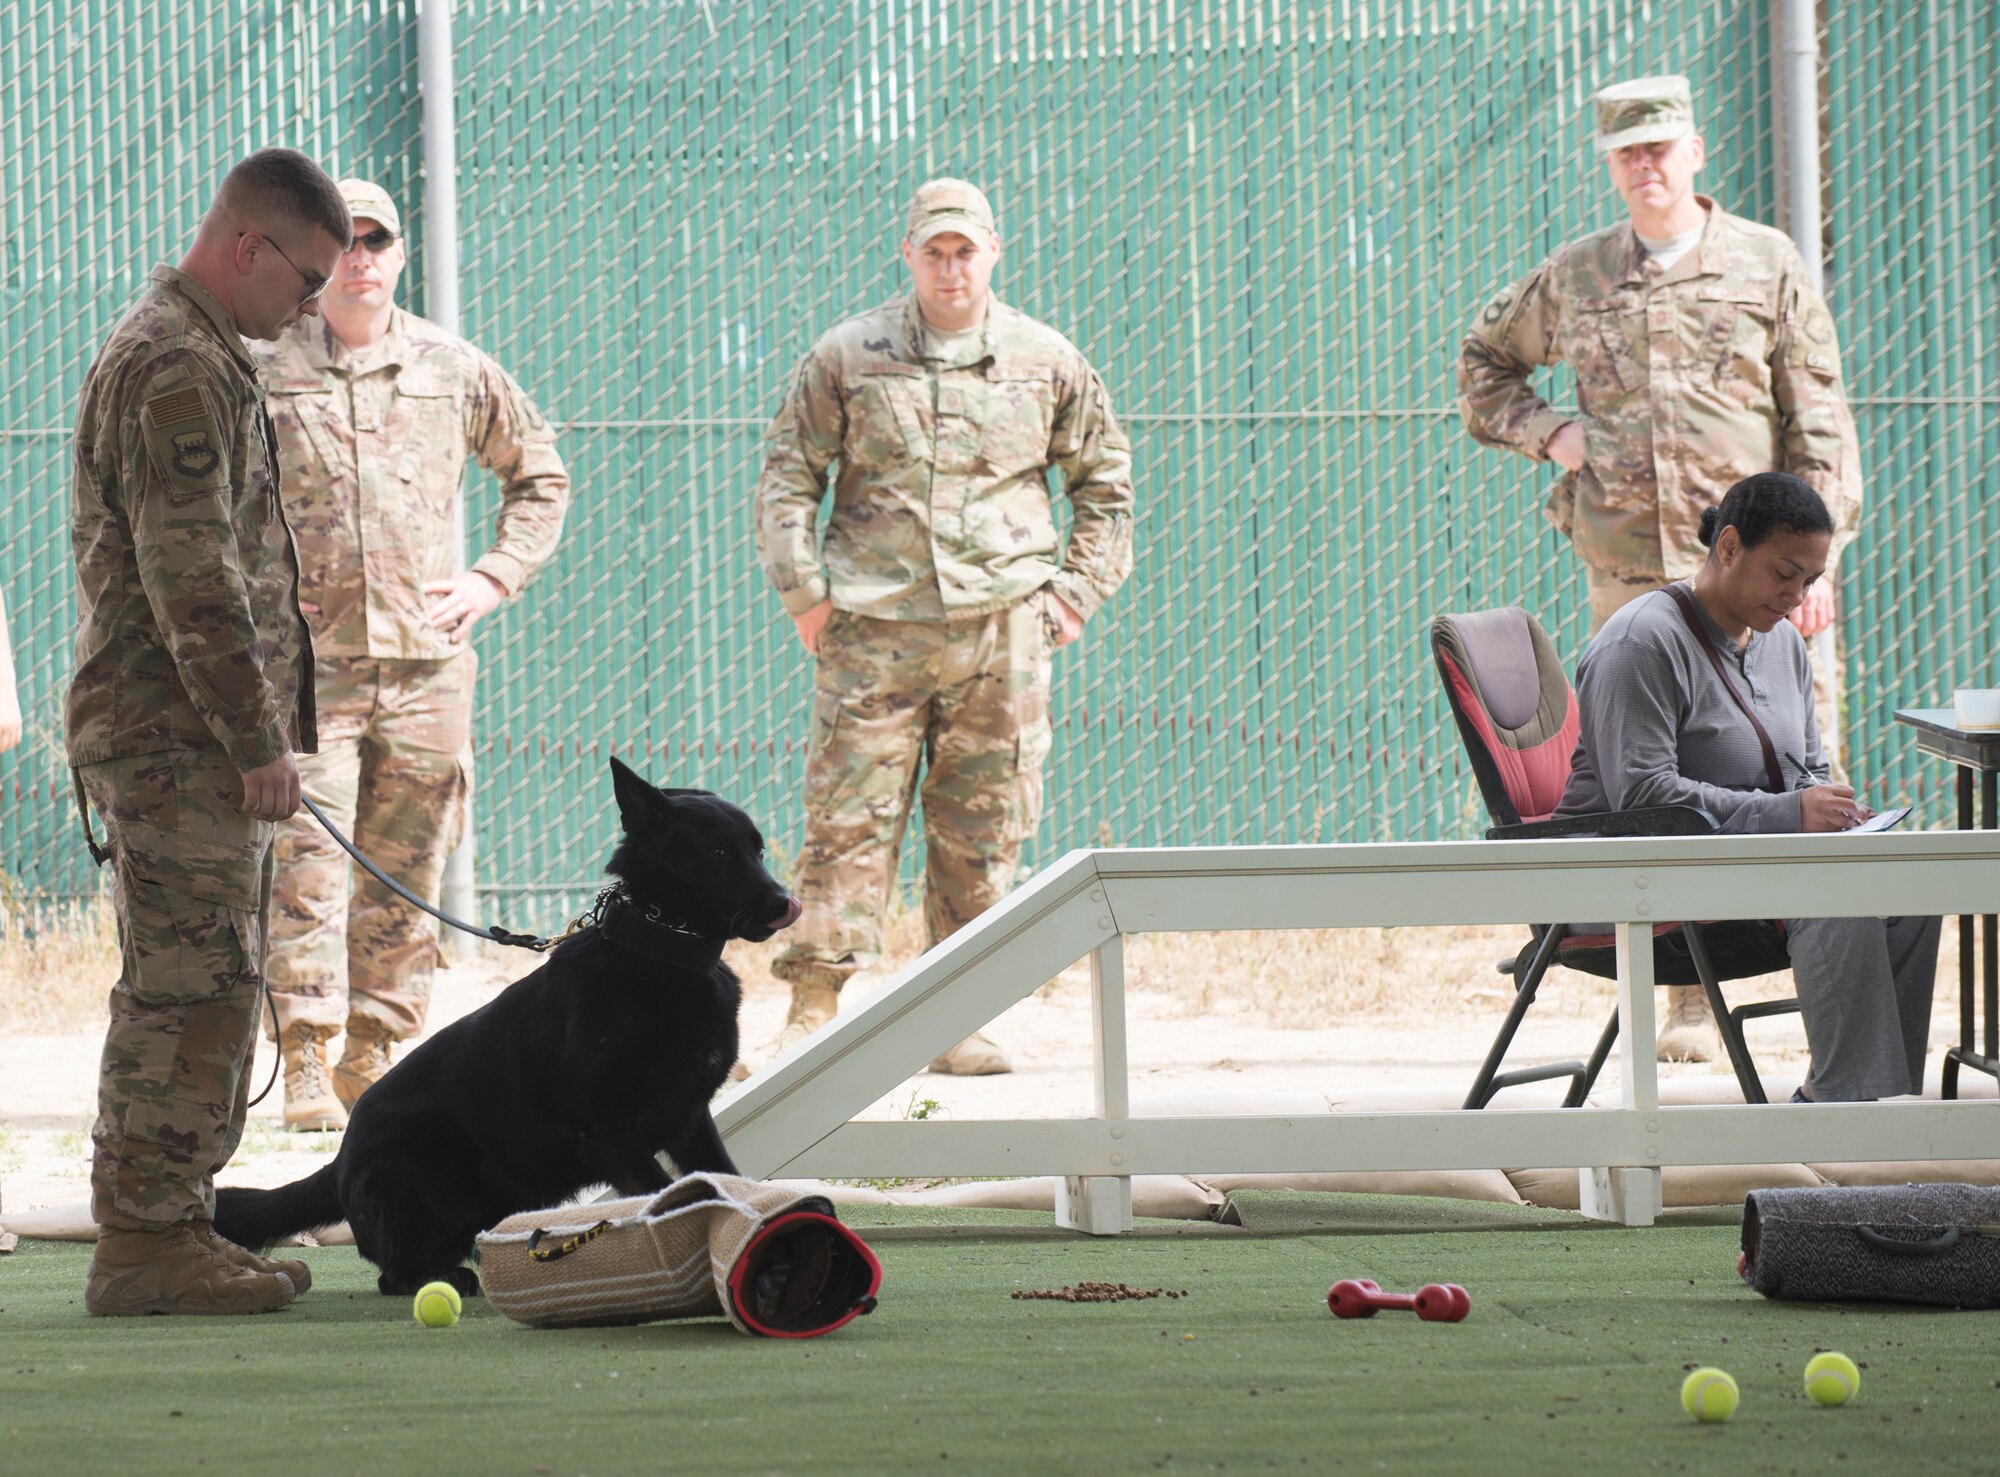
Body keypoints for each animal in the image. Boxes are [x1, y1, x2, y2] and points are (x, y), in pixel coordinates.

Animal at [217, 760, 796, 1288]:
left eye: (758, 849)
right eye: (718, 851)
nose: (784, 903)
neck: (659, 952)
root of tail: (337, 1164)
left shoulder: (691, 1120)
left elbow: (724, 1180)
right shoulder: (604, 1126)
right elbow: (668, 1194)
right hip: (422, 1156)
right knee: (393, 1274)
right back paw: (442, 1279)